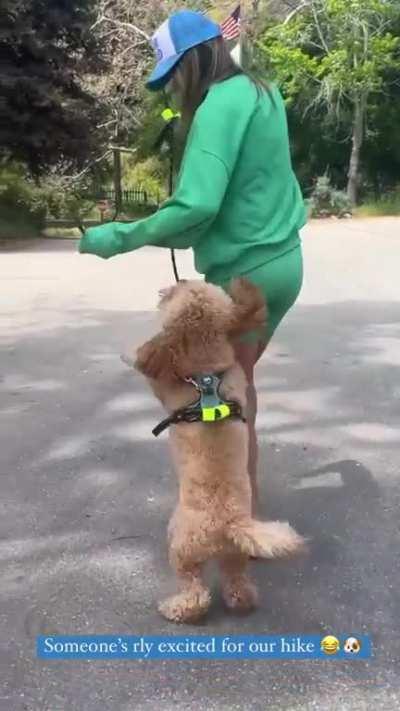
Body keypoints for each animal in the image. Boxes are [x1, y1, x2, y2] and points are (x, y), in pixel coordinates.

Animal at [134, 279, 305, 623]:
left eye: (178, 292)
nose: (179, 280)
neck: (205, 374)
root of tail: (229, 525)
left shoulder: (165, 384)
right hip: (234, 557)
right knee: (237, 586)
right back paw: (243, 600)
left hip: (181, 549)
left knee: (196, 592)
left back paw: (175, 608)